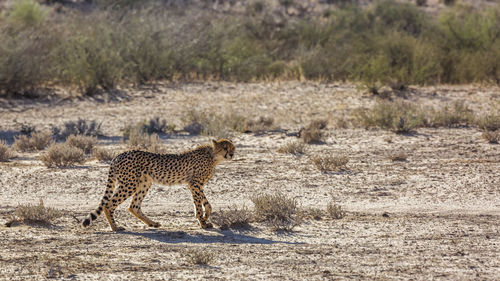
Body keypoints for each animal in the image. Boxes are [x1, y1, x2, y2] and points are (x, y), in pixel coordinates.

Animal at [83, 138, 235, 230]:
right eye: (225, 148)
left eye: (232, 148)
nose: (232, 155)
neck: (213, 156)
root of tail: (118, 155)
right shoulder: (194, 184)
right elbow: (198, 205)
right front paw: (202, 222)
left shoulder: (193, 185)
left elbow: (207, 203)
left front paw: (206, 216)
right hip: (129, 184)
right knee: (108, 205)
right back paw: (115, 227)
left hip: (144, 183)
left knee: (133, 207)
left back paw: (152, 223)